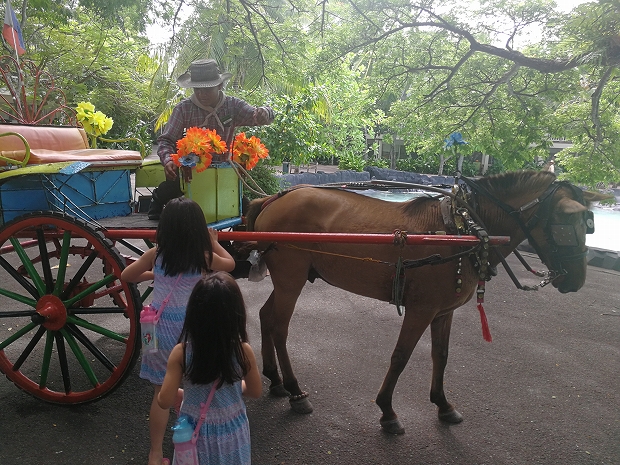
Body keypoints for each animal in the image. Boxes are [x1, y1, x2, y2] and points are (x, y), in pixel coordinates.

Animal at [245, 170, 608, 436]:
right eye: (567, 227)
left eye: (588, 227)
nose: (576, 281)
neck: (461, 229)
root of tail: (272, 199)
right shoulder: (421, 309)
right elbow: (401, 357)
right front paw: (387, 411)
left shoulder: (442, 311)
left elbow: (441, 356)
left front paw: (443, 404)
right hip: (291, 277)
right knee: (279, 327)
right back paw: (294, 391)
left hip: (287, 278)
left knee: (265, 316)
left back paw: (275, 379)